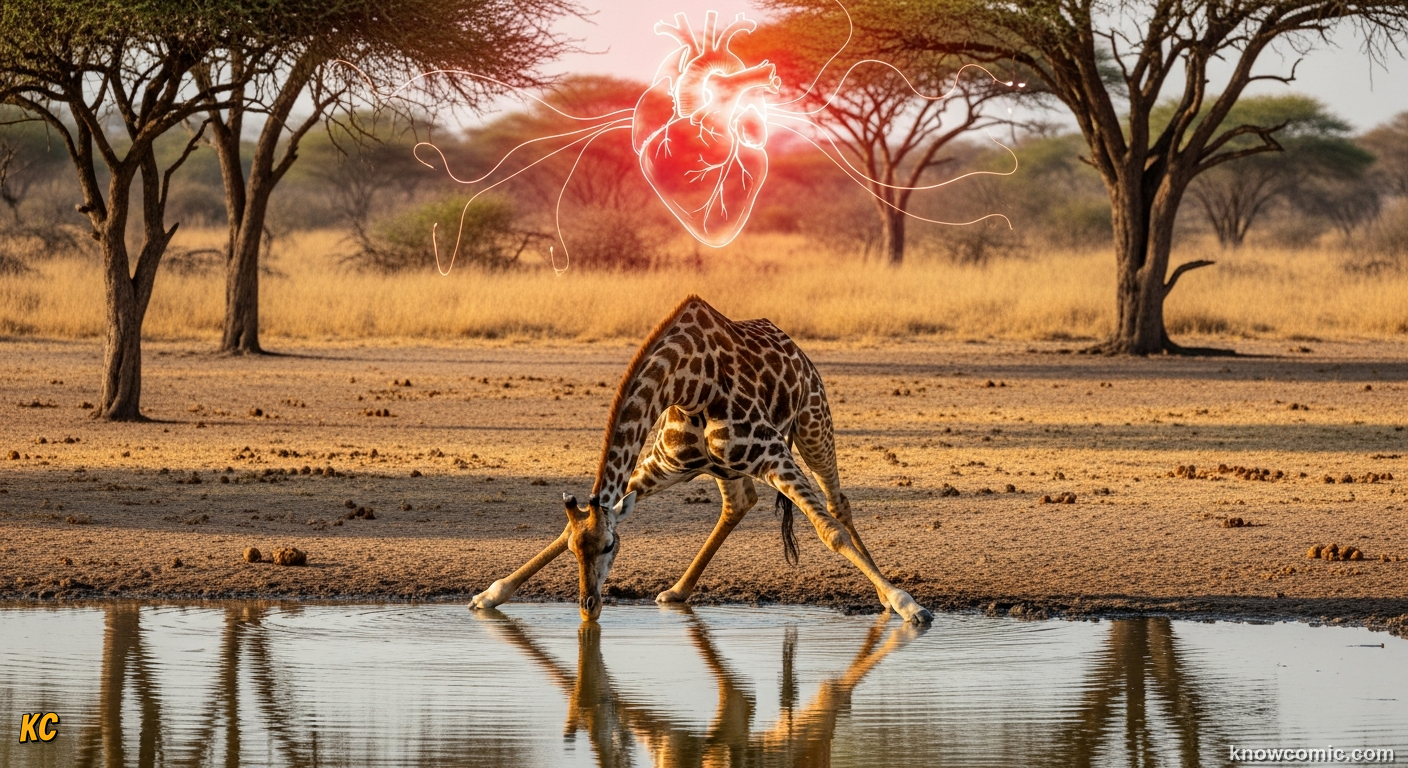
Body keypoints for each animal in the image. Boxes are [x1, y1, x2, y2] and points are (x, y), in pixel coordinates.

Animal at [469, 295, 933, 624]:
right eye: (576, 550)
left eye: (610, 546)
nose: (589, 606)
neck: (688, 383)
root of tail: (796, 347)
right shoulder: (661, 464)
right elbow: (572, 524)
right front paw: (490, 595)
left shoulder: (774, 453)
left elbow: (829, 532)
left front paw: (908, 604)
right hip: (723, 466)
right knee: (739, 503)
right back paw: (676, 591)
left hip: (813, 425)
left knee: (838, 505)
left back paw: (885, 596)